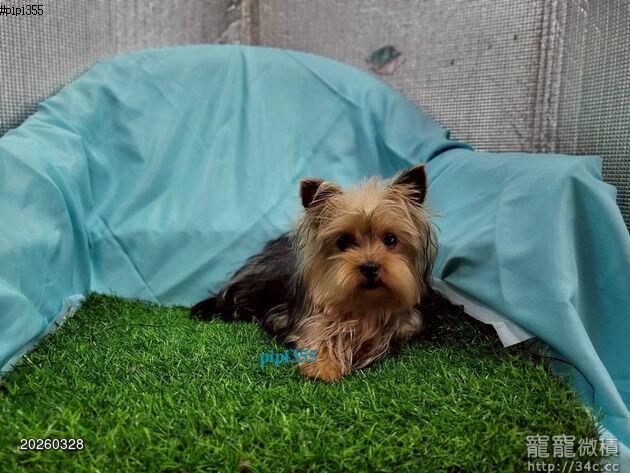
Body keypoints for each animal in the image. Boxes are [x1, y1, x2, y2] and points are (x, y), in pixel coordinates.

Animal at [191, 164, 436, 382]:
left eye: (390, 239)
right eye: (343, 241)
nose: (369, 267)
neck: (364, 303)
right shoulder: (301, 314)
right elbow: (318, 328)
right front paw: (323, 364)